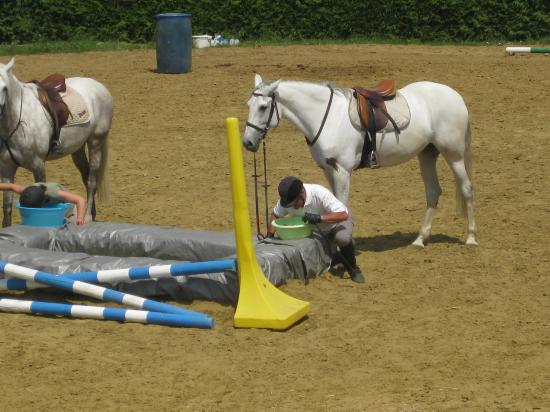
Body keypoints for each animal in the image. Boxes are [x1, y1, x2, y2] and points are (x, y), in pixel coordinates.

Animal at [0, 58, 113, 227]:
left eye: (4, 88)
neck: (19, 121)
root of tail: (100, 87)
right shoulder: (7, 169)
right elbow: (6, 207)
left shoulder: (38, 165)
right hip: (78, 149)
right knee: (86, 176)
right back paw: (90, 214)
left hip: (96, 142)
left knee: (92, 180)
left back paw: (87, 217)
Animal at [243, 74, 478, 246]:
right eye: (248, 105)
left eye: (263, 107)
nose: (247, 142)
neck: (326, 117)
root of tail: (455, 96)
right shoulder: (328, 169)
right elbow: (333, 205)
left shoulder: (342, 171)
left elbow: (342, 204)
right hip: (427, 154)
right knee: (433, 192)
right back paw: (420, 239)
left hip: (454, 155)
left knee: (466, 189)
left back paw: (471, 237)